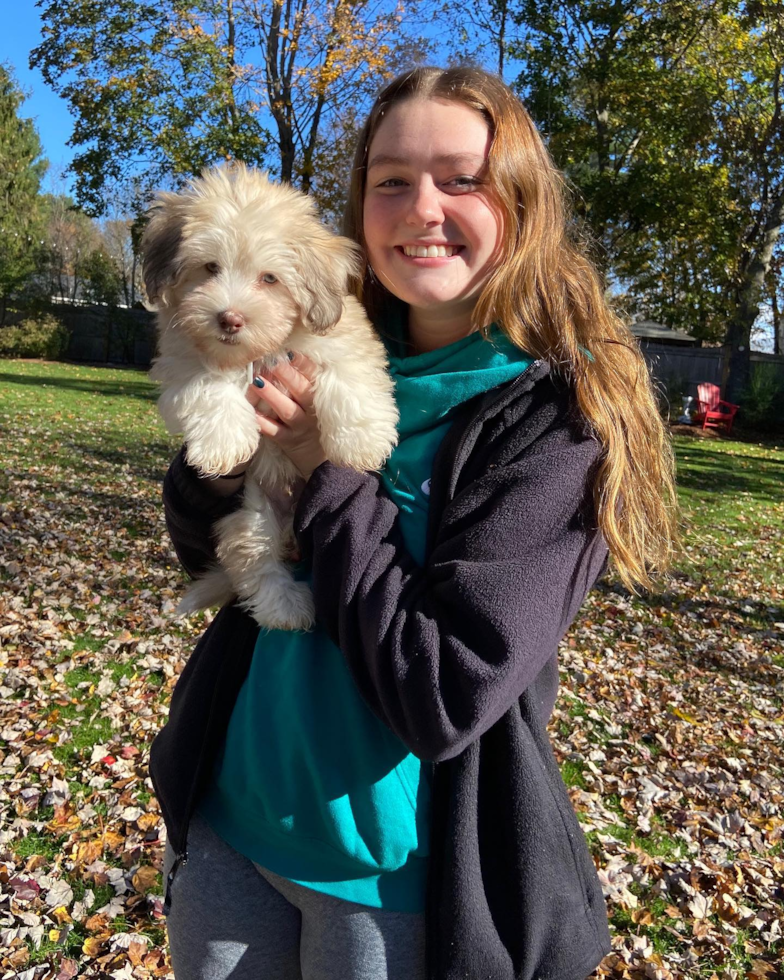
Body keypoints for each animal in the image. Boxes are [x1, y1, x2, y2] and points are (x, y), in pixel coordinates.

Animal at [143, 165, 398, 632]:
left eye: (269, 278)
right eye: (209, 268)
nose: (229, 318)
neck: (259, 352)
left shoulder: (341, 340)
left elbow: (350, 379)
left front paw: (361, 443)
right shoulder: (183, 356)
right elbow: (208, 383)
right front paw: (223, 443)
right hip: (253, 514)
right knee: (257, 566)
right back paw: (289, 607)